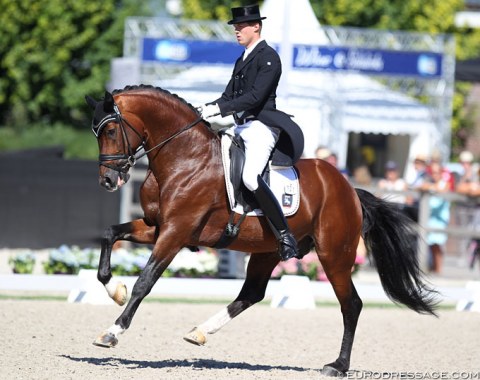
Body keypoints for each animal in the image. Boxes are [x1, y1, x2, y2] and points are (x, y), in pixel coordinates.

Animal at [84, 84, 436, 376]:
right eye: (96, 133)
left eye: (111, 129)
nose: (108, 180)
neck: (185, 158)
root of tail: (348, 188)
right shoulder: (157, 227)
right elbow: (109, 234)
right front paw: (115, 290)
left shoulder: (175, 233)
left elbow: (145, 282)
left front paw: (112, 332)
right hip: (268, 251)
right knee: (252, 293)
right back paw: (199, 331)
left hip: (335, 255)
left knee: (351, 305)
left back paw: (337, 365)